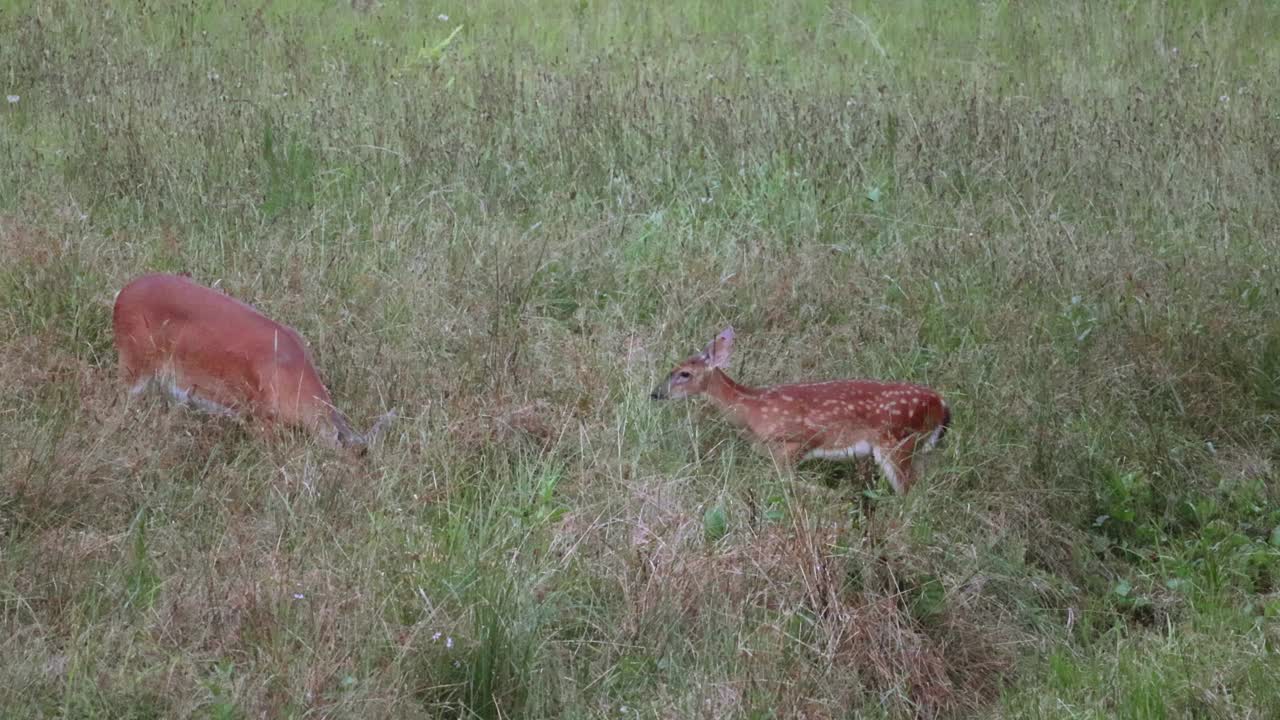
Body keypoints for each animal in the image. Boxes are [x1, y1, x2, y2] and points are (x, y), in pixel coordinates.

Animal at [655, 326, 947, 489]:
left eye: (684, 373)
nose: (656, 393)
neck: (751, 409)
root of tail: (942, 404)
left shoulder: (793, 443)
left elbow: (790, 483)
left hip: (897, 443)